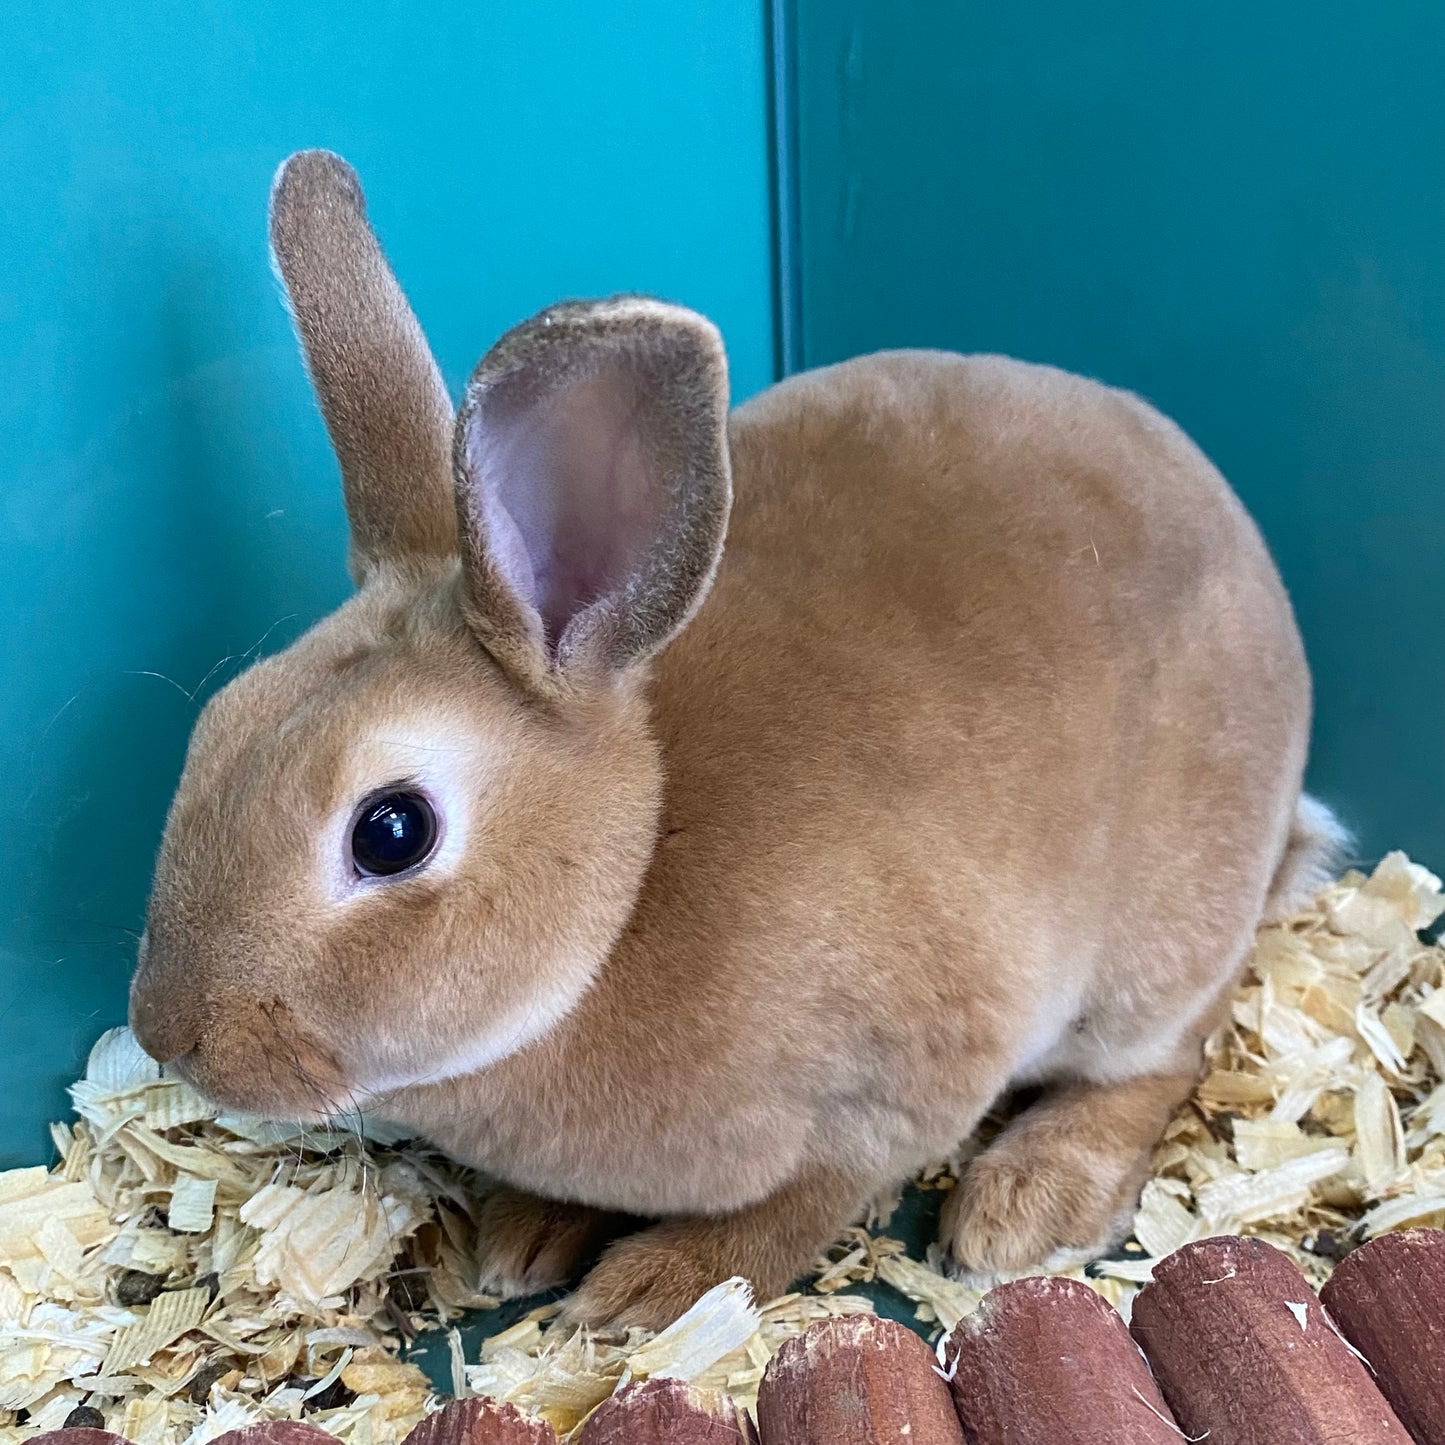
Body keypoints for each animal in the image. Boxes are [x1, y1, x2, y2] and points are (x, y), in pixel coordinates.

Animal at [128, 148, 1343, 1330]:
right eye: (213, 726)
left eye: (390, 830)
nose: (165, 1032)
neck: (625, 894)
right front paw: (526, 1231)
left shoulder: (895, 1093)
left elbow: (798, 1208)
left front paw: (653, 1289)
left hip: (1155, 948)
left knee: (1167, 1050)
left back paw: (1027, 1201)